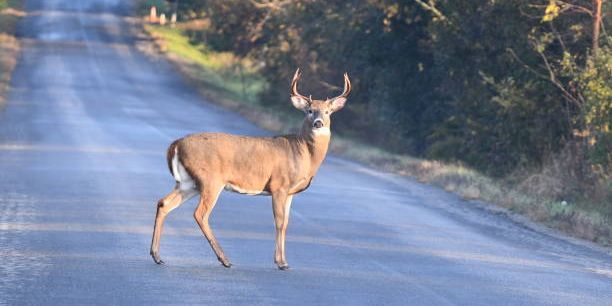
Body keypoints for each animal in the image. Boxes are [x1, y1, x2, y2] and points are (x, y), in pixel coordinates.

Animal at [151, 69, 352, 270]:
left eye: (327, 112)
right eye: (310, 111)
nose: (318, 123)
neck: (304, 153)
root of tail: (176, 144)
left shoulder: (290, 192)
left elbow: (286, 223)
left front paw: (283, 260)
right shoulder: (279, 185)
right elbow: (279, 222)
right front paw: (281, 262)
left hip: (188, 183)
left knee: (164, 203)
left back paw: (157, 256)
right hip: (210, 180)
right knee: (200, 214)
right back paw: (224, 259)